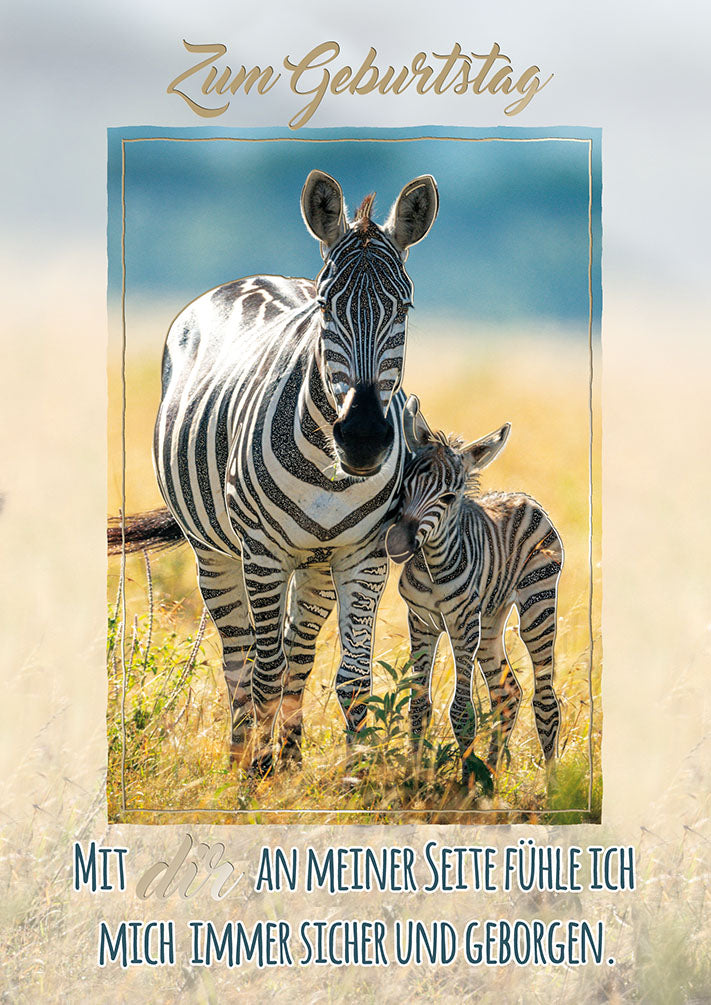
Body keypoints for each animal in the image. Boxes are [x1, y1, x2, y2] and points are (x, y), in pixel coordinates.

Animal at [146, 170, 438, 774]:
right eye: (327, 308)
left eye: (404, 308)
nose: (364, 438)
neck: (333, 474)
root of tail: (254, 277)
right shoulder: (261, 550)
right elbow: (263, 670)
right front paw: (255, 778)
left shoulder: (365, 554)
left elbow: (353, 677)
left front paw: (355, 776)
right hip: (214, 552)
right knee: (241, 659)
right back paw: (242, 759)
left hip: (318, 562)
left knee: (298, 653)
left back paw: (291, 759)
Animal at [385, 395, 563, 785]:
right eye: (404, 485)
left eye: (449, 498)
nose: (397, 543)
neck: (434, 566)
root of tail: (523, 496)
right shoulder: (421, 622)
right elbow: (418, 704)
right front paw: (415, 776)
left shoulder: (463, 626)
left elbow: (462, 712)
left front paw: (465, 782)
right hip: (491, 620)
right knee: (507, 693)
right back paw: (492, 776)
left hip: (537, 605)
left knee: (544, 700)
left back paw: (552, 784)